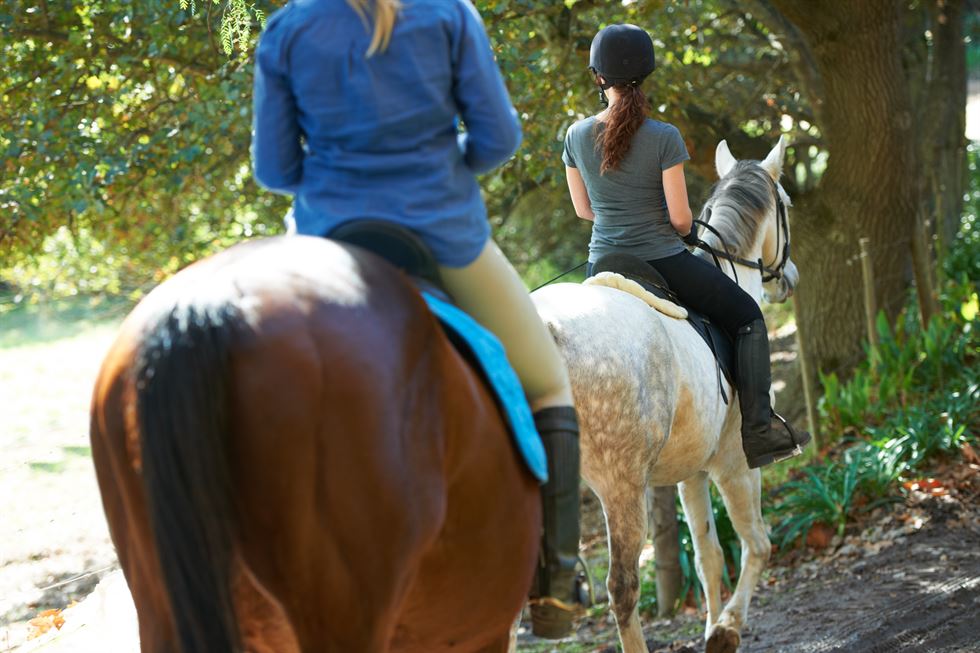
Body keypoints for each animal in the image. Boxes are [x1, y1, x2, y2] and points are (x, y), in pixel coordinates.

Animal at [532, 136, 800, 652]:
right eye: (788, 206)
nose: (789, 278)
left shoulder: (690, 472)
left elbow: (708, 556)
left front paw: (714, 625)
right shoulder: (733, 462)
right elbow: (757, 544)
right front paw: (726, 630)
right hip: (621, 487)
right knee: (623, 589)